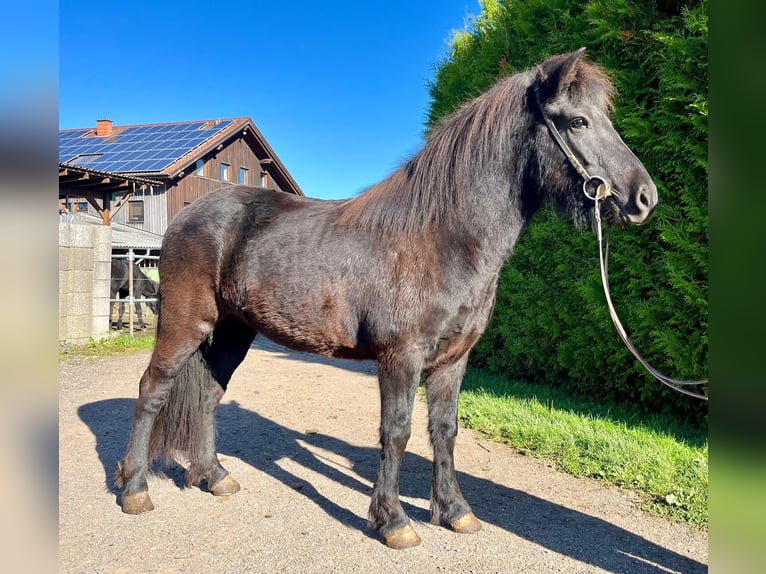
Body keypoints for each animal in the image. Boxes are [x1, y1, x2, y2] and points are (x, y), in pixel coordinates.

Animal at [115, 48, 657, 549]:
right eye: (577, 120)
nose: (645, 197)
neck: (441, 237)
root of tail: (190, 214)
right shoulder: (402, 357)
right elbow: (396, 431)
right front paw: (394, 521)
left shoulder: (452, 360)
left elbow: (445, 430)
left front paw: (454, 511)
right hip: (186, 322)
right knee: (152, 389)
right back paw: (135, 488)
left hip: (234, 329)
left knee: (208, 392)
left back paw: (214, 477)